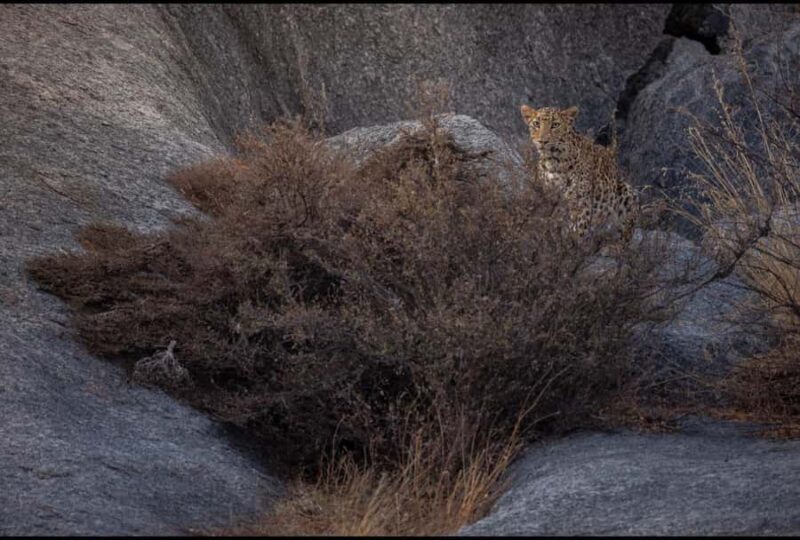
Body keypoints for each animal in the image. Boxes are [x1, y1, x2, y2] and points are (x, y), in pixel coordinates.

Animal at [520, 104, 638, 245]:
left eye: (555, 125)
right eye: (536, 124)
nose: (543, 141)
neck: (553, 162)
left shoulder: (581, 204)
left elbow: (577, 233)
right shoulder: (546, 198)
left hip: (628, 193)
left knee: (623, 235)